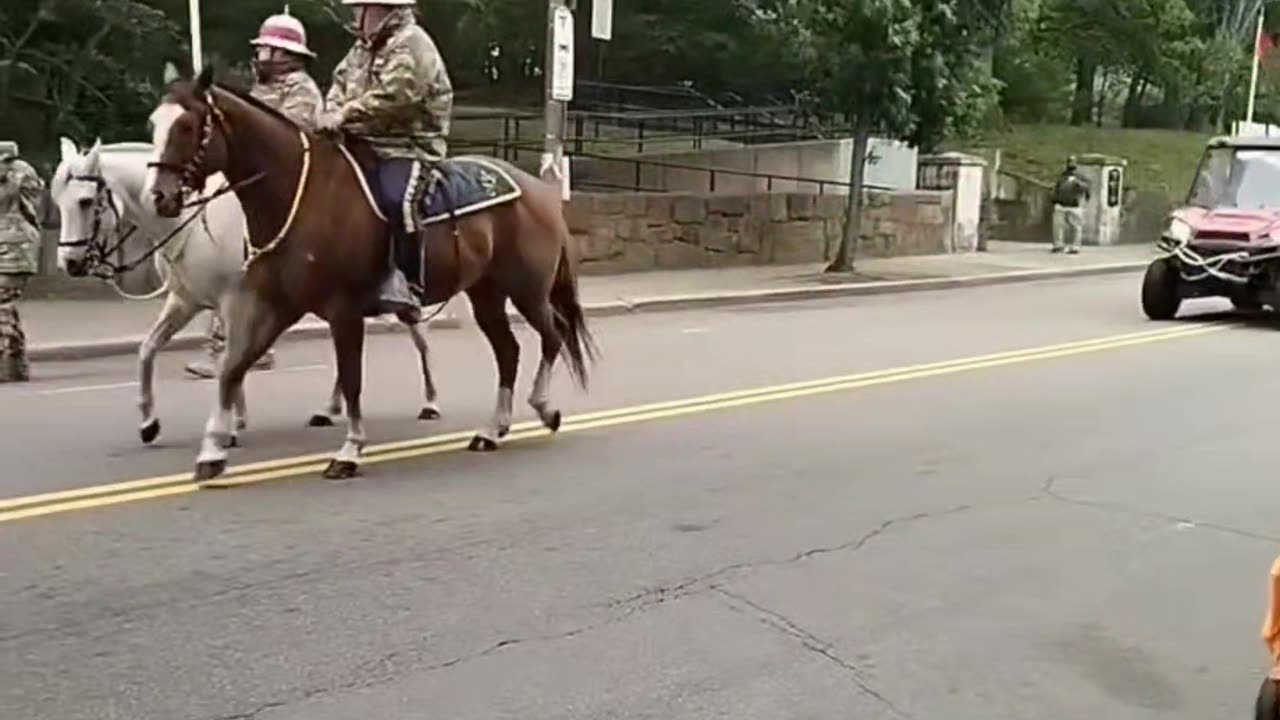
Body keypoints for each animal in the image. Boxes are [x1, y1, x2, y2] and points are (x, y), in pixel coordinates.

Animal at [52, 135, 442, 443]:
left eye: (86, 201)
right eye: (58, 201)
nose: (69, 263)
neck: (188, 223)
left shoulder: (233, 300)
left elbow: (231, 358)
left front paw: (231, 423)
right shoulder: (187, 300)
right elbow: (149, 349)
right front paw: (149, 422)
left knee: (421, 339)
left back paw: (430, 402)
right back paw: (329, 408)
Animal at [147, 67, 596, 479]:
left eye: (187, 125)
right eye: (154, 122)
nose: (160, 196)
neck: (300, 194)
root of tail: (541, 191)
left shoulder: (342, 310)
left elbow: (351, 379)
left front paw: (349, 451)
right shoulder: (274, 305)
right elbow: (233, 368)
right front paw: (212, 450)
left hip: (528, 291)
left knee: (553, 335)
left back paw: (544, 408)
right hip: (487, 294)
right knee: (509, 351)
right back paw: (492, 429)